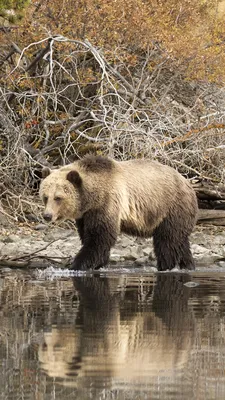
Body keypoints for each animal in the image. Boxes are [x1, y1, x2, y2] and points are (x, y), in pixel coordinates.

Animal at [39, 155, 198, 270]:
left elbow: (99, 238)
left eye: (58, 197)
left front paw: (78, 264)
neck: (91, 197)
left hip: (170, 207)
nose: (47, 216)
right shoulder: (85, 215)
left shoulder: (106, 203)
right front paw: (98, 263)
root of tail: (187, 182)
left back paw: (166, 266)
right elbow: (88, 235)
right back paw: (188, 265)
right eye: (45, 196)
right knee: (180, 241)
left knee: (167, 241)